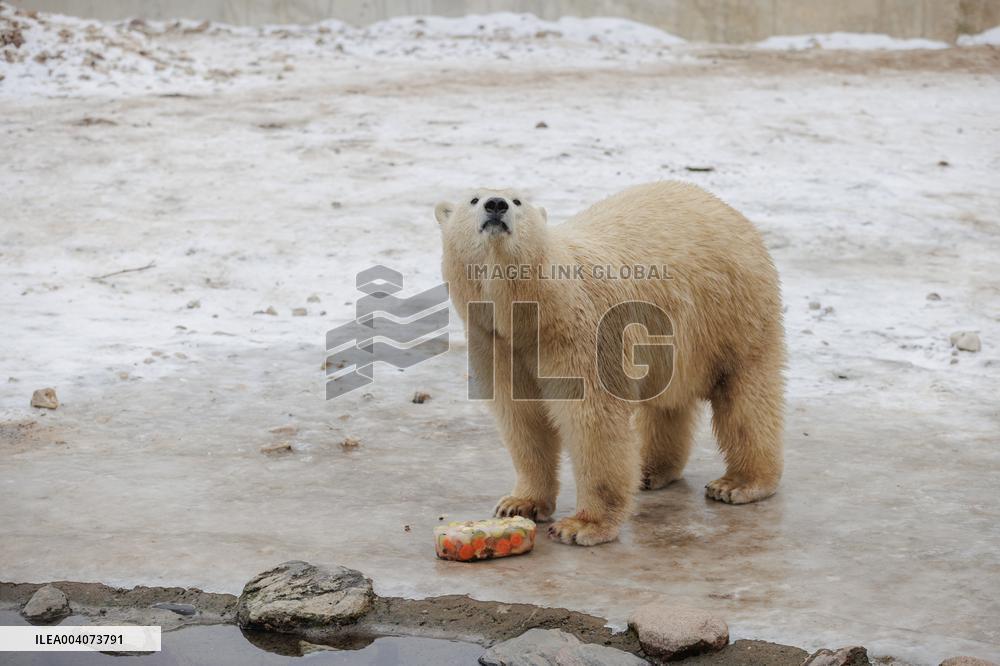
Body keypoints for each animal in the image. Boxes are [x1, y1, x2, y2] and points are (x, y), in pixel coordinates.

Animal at [435, 181, 784, 546]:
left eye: (517, 201)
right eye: (473, 199)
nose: (496, 205)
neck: (534, 312)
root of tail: (728, 210)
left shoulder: (580, 338)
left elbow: (592, 421)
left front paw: (583, 525)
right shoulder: (498, 344)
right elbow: (523, 419)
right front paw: (519, 503)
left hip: (732, 310)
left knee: (746, 396)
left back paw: (739, 483)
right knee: (666, 402)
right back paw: (651, 470)